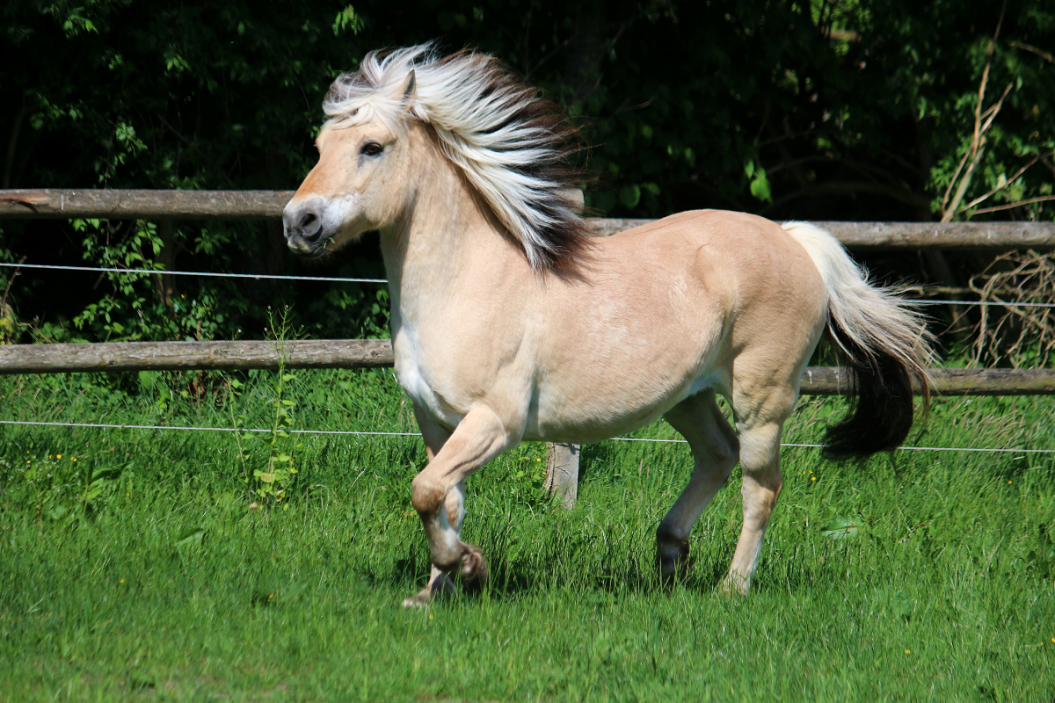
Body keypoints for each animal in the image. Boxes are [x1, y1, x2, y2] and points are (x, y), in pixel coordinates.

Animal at [282, 44, 935, 607]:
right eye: (318, 145)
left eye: (372, 146)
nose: (299, 222)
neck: (466, 282)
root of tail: (796, 241)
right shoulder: (437, 422)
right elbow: (444, 499)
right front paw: (433, 592)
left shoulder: (495, 422)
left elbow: (426, 491)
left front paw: (467, 567)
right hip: (686, 397)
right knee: (717, 455)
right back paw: (670, 554)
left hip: (764, 399)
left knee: (761, 486)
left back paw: (732, 587)